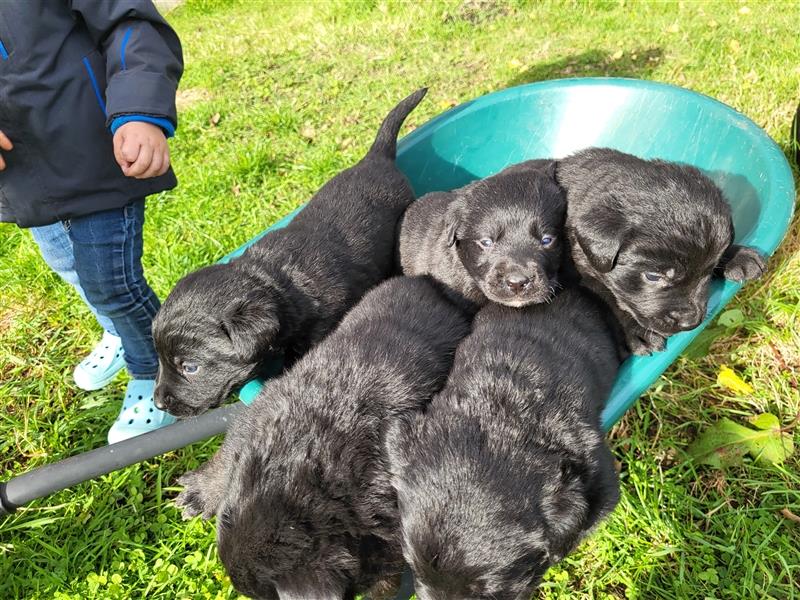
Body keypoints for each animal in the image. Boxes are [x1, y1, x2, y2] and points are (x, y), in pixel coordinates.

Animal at [552, 147, 764, 354]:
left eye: (710, 270)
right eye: (653, 276)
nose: (690, 323)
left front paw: (739, 256)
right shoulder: (584, 270)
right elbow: (609, 298)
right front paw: (638, 332)